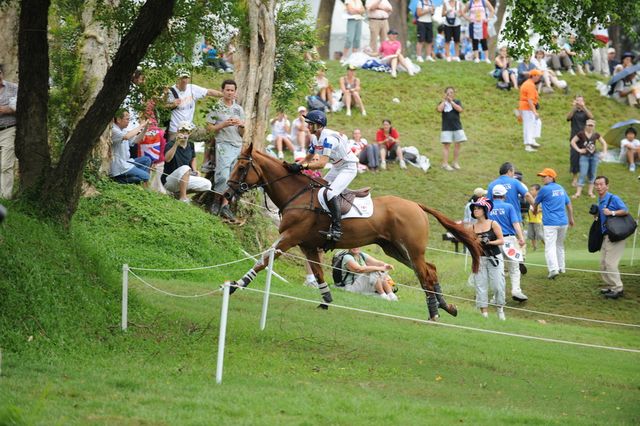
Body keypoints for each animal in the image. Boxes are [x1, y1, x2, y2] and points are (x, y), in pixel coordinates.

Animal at [225, 143, 480, 320]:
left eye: (241, 167)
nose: (227, 194)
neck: (297, 195)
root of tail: (416, 205)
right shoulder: (307, 245)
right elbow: (318, 273)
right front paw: (326, 300)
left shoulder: (291, 237)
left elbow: (263, 259)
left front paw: (236, 285)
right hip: (395, 249)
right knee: (430, 270)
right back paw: (448, 307)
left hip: (412, 249)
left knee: (425, 274)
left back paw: (434, 312)